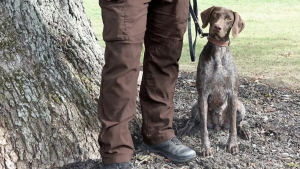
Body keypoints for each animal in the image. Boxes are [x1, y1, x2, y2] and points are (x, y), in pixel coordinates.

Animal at [178, 6, 251, 157]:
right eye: (215, 15)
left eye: (228, 18)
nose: (217, 27)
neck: (218, 51)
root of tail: (218, 125)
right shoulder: (203, 94)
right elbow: (203, 129)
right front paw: (205, 148)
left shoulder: (233, 94)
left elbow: (233, 127)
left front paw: (232, 144)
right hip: (195, 105)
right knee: (192, 121)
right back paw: (184, 130)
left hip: (240, 106)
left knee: (238, 123)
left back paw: (244, 131)